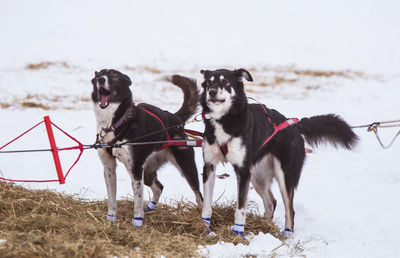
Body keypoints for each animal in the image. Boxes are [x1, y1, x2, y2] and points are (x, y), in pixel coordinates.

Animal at [91, 69, 203, 228]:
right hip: (147, 173)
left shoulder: (136, 170)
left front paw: (137, 221)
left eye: (114, 76)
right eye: (98, 75)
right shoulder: (109, 168)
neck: (114, 123)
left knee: (199, 195)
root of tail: (175, 120)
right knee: (159, 187)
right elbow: (112, 197)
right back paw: (151, 206)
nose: (101, 79)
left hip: (186, 167)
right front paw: (111, 217)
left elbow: (137, 200)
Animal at [200, 68, 360, 236]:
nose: (211, 92)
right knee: (271, 202)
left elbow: (240, 209)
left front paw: (238, 233)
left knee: (290, 210)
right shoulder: (209, 166)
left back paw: (287, 233)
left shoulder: (243, 171)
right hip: (257, 177)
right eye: (209, 82)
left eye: (225, 82)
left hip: (284, 177)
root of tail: (294, 125)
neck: (224, 120)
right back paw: (265, 226)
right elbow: (206, 206)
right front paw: (205, 230)